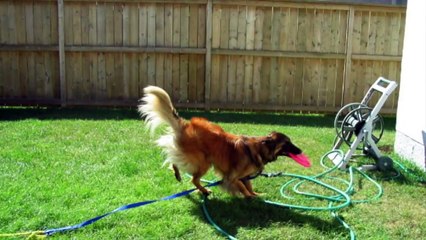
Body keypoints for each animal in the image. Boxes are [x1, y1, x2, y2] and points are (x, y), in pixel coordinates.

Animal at [139, 86, 310, 197]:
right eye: (287, 143)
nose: (301, 151)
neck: (260, 148)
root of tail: (186, 124)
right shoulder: (233, 176)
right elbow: (242, 187)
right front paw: (250, 197)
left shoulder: (245, 176)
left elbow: (249, 185)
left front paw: (256, 194)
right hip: (203, 161)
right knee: (192, 176)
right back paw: (202, 189)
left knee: (176, 161)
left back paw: (180, 176)